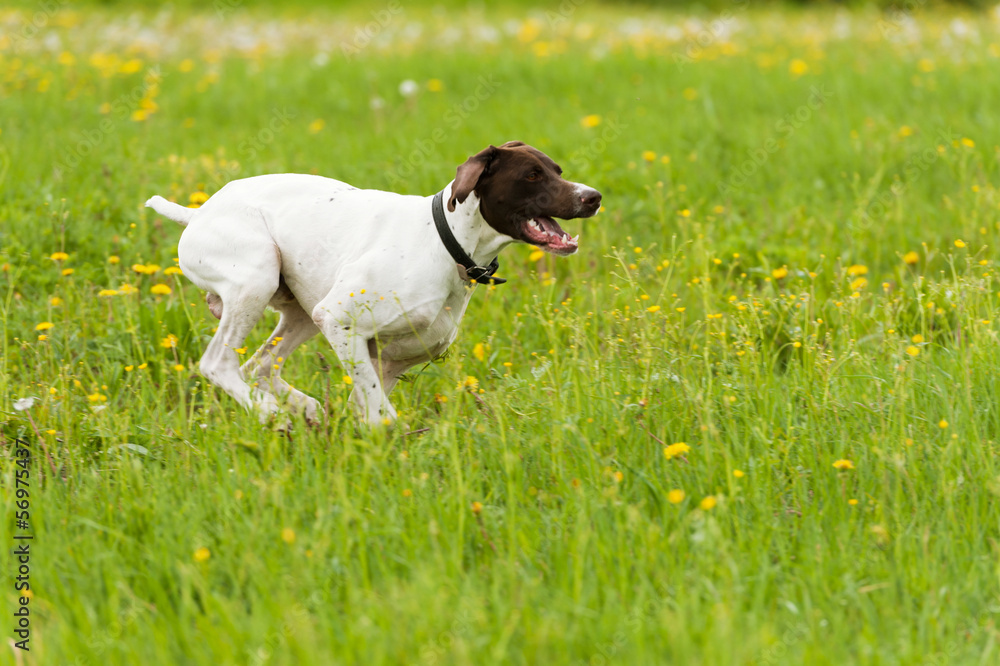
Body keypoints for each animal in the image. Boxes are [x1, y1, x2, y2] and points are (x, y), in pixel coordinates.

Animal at [147, 141, 600, 426]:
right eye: (532, 175)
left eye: (557, 171)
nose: (592, 196)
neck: (444, 243)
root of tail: (199, 212)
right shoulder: (340, 322)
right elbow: (383, 416)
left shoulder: (387, 360)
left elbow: (368, 406)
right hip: (257, 281)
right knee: (219, 364)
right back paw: (269, 413)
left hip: (300, 314)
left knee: (258, 366)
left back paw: (303, 408)